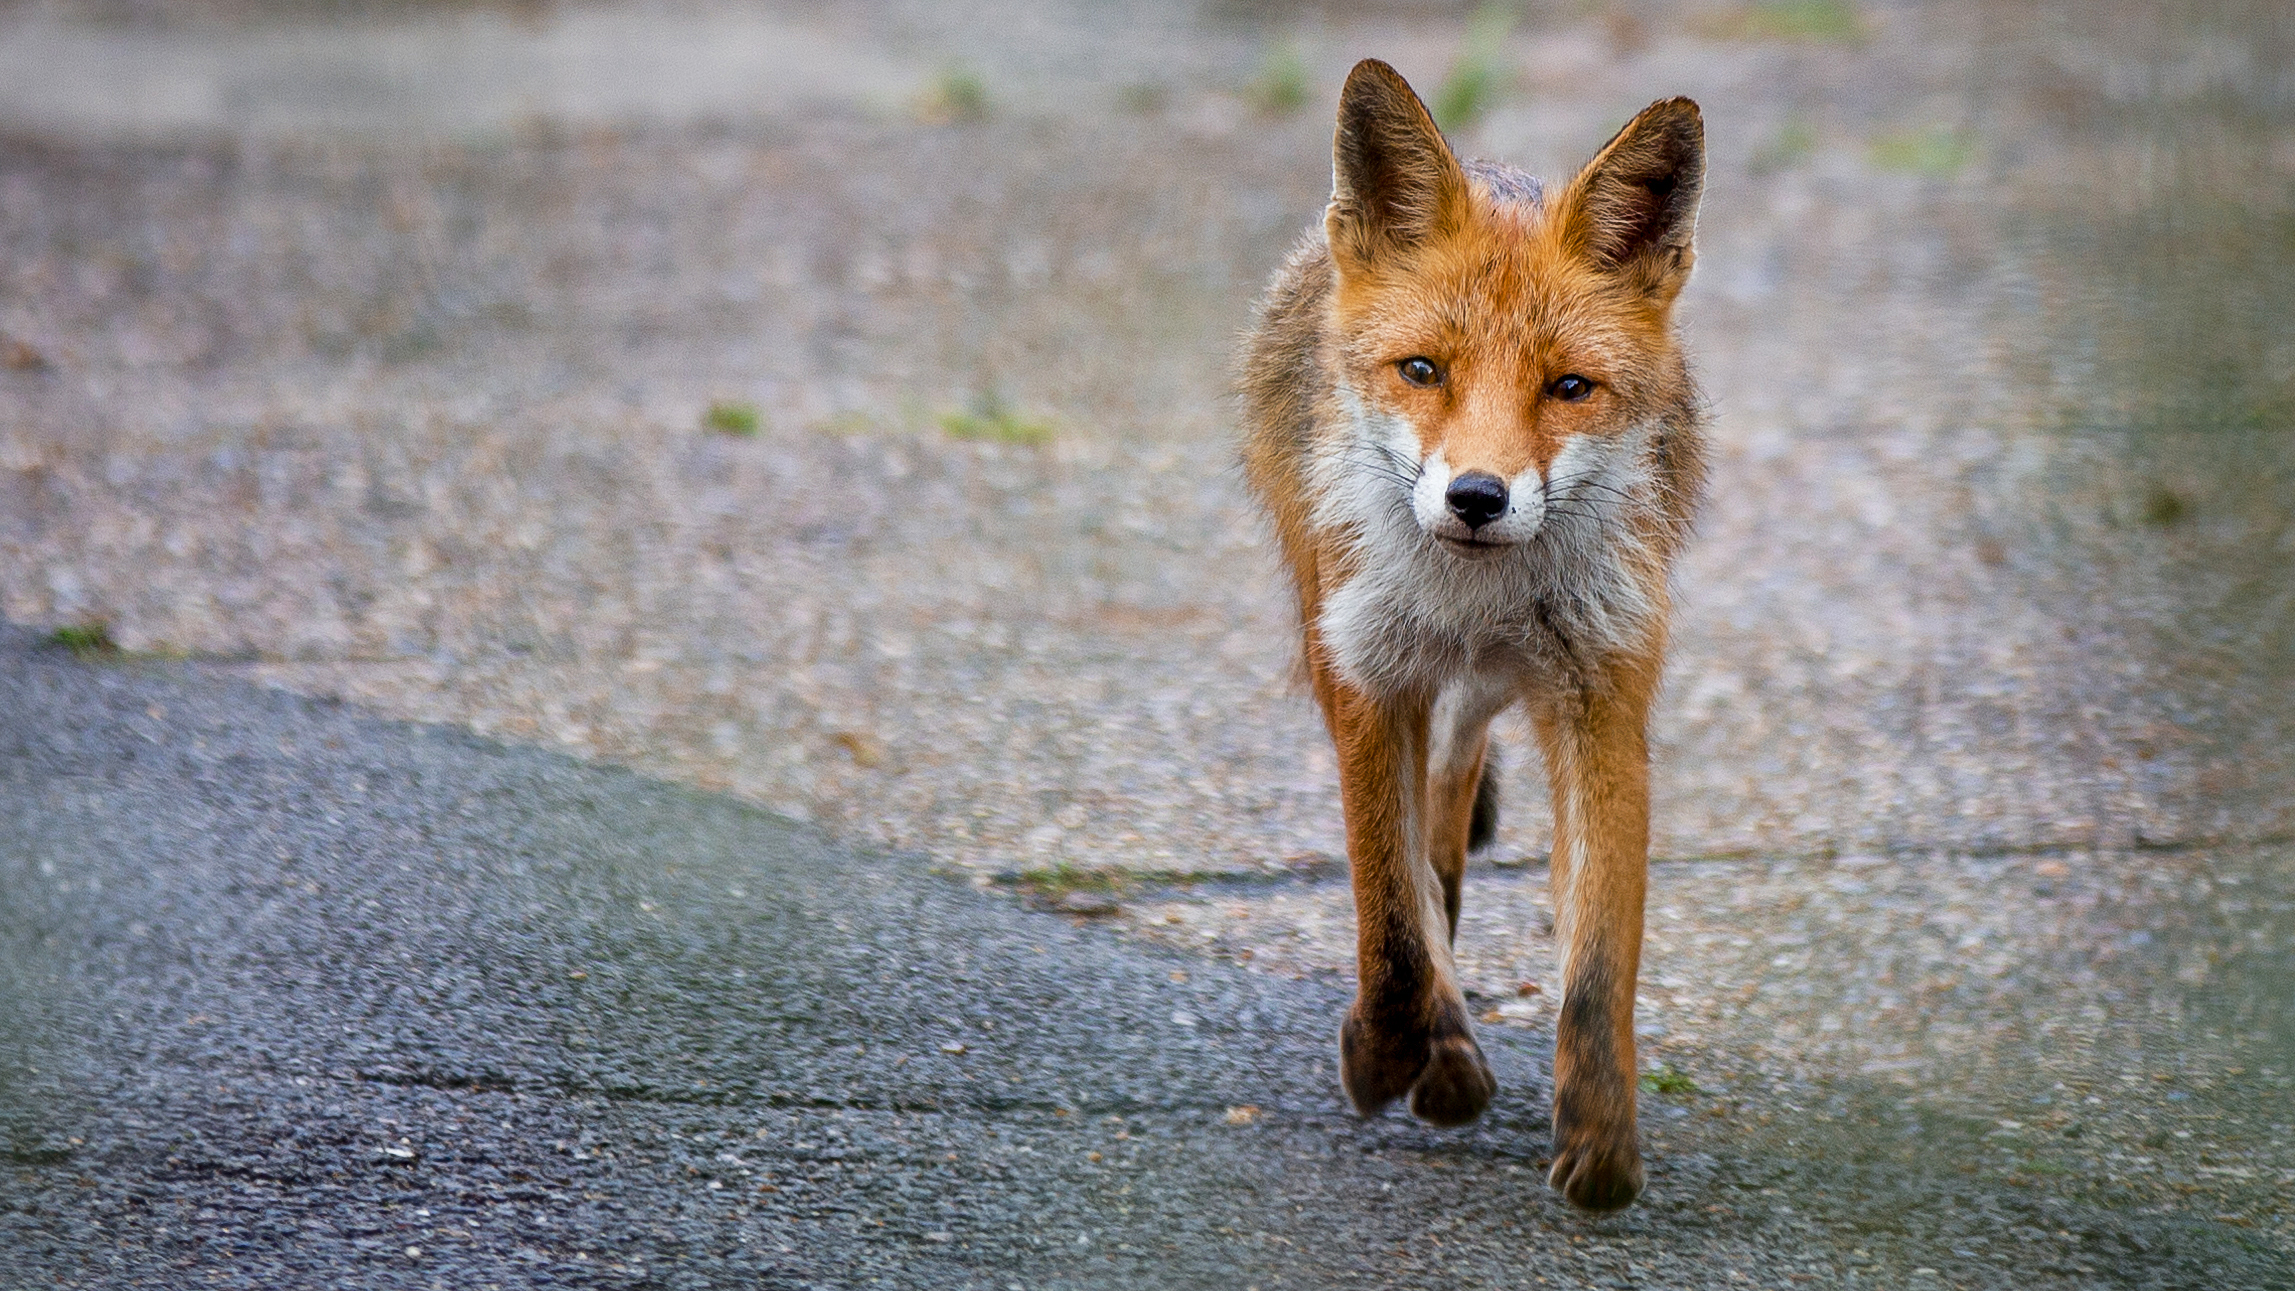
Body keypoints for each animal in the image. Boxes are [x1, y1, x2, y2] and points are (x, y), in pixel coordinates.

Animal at [1240, 60, 1707, 1211]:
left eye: (1569, 388)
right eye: (1423, 370)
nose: (1478, 498)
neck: (1473, 598)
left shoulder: (1601, 696)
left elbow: (1598, 958)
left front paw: (1600, 1140)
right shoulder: (1365, 673)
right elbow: (1389, 918)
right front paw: (1391, 1052)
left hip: (1491, 691)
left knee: (1451, 805)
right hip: (1346, 635)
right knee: (1417, 866)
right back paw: (1439, 1041)